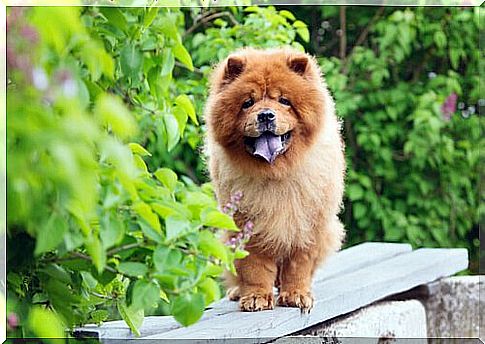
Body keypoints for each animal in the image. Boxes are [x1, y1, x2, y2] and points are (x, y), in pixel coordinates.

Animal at [203, 47, 344, 314]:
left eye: (284, 101)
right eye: (248, 103)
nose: (266, 115)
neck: (276, 174)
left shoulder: (307, 226)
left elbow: (298, 266)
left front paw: (297, 295)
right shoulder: (247, 226)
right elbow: (254, 268)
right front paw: (256, 297)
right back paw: (238, 292)